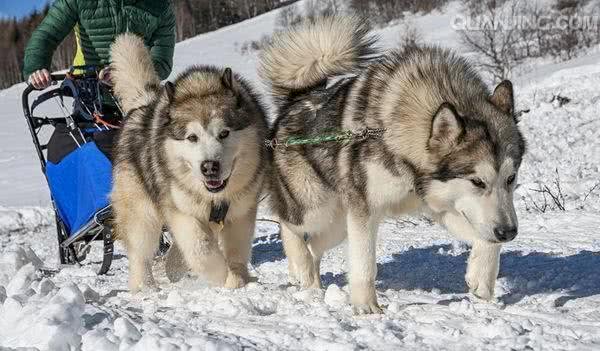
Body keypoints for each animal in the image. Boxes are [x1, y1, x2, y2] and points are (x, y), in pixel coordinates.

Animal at [109, 33, 268, 292]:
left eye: (224, 133)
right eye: (192, 137)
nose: (209, 167)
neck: (214, 199)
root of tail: (143, 105)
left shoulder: (241, 212)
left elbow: (236, 252)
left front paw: (237, 281)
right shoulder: (181, 212)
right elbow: (200, 248)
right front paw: (219, 276)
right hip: (142, 215)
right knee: (140, 254)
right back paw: (145, 288)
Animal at [258, 16, 524, 314]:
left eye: (511, 178)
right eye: (477, 181)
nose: (509, 232)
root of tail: (297, 100)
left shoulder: (441, 206)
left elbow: (487, 242)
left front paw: (482, 277)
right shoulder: (365, 211)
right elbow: (364, 264)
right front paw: (366, 307)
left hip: (338, 224)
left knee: (315, 245)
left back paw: (312, 285)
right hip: (315, 208)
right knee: (287, 224)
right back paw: (300, 266)